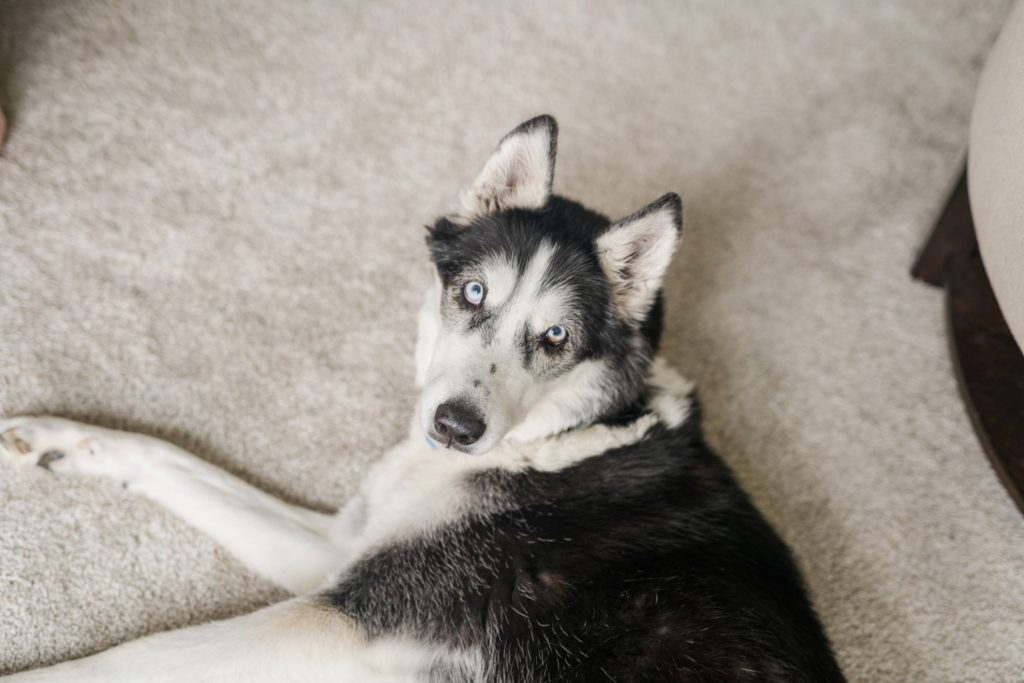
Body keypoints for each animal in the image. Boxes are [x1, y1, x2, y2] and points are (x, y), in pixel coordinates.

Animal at [0, 116, 845, 682]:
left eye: (556, 338)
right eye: (473, 293)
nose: (456, 425)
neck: (553, 441)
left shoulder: (352, 614)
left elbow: (128, 657)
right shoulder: (344, 554)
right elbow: (170, 457)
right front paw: (62, 437)